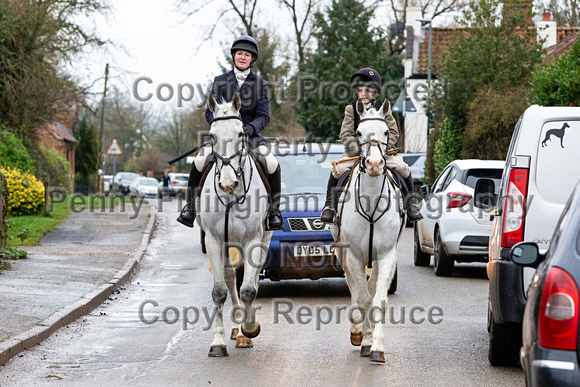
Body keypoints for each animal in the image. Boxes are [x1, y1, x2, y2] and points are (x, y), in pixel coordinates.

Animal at [198, 93, 274, 358]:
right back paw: (236, 323)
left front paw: (250, 329)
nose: (228, 183)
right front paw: (218, 342)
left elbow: (249, 289)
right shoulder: (213, 239)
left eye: (242, 133)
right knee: (231, 278)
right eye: (212, 136)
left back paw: (244, 330)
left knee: (253, 278)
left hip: (264, 238)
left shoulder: (253, 239)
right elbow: (220, 291)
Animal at [330, 98, 404, 366]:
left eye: (386, 132)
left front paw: (377, 347)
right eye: (359, 132)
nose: (374, 164)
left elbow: (378, 299)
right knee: (352, 285)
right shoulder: (354, 255)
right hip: (343, 254)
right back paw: (357, 332)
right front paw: (365, 340)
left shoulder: (387, 254)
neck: (371, 202)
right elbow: (362, 297)